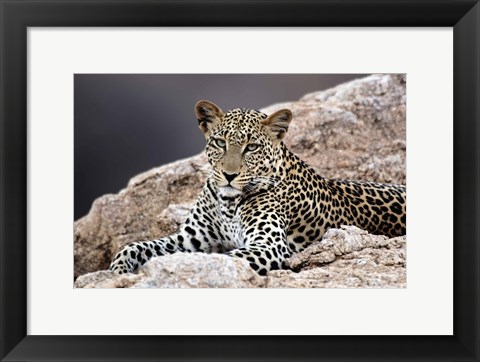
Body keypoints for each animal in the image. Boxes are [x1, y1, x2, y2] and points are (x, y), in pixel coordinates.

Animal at [109, 100, 404, 276]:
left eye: (251, 147)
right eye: (220, 143)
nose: (229, 175)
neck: (228, 203)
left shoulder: (268, 245)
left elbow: (226, 259)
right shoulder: (189, 239)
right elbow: (134, 246)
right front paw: (119, 270)